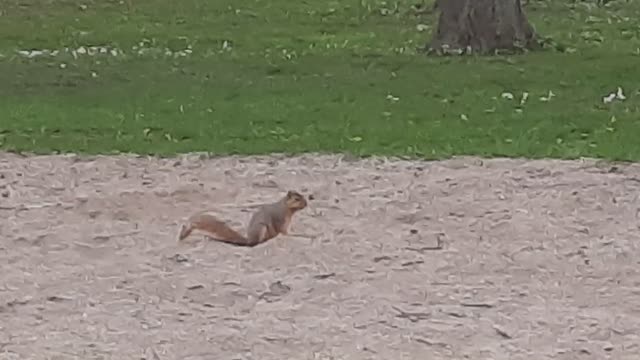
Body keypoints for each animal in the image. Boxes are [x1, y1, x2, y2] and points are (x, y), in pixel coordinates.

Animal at [179, 190, 308, 246]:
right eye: (296, 199)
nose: (306, 204)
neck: (286, 208)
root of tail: (249, 240)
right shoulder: (280, 220)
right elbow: (285, 233)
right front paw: (301, 235)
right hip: (261, 229)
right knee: (257, 243)